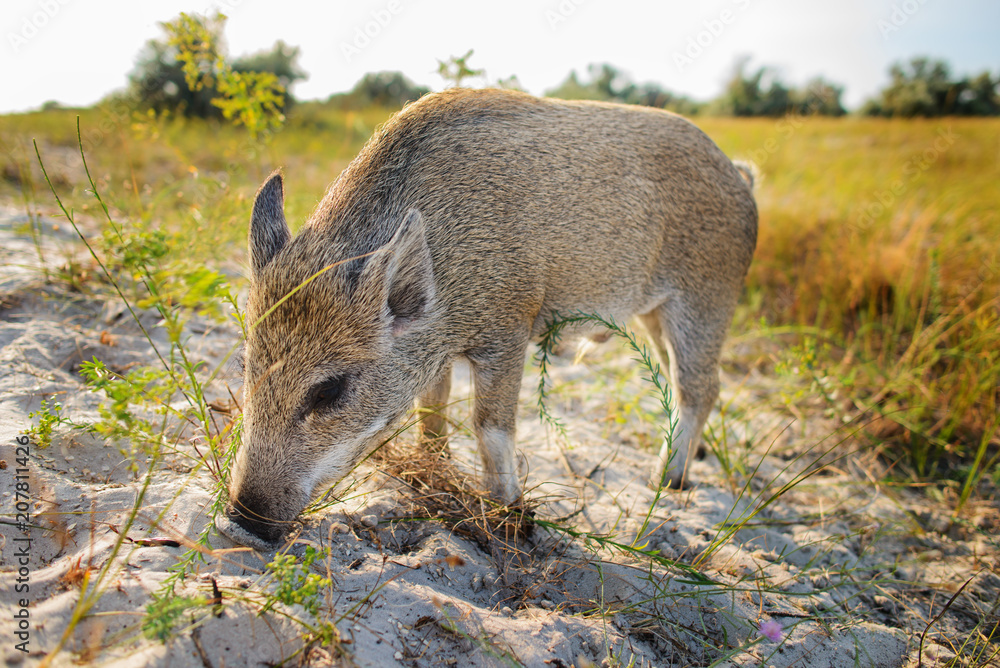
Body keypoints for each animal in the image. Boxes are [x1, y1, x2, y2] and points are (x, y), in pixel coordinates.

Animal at [215, 87, 757, 549]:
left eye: (329, 390)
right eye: (245, 366)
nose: (242, 521)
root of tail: (741, 177)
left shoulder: (510, 325)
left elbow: (489, 424)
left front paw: (513, 517)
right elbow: (432, 408)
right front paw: (429, 469)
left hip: (707, 297)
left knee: (701, 387)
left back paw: (669, 481)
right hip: (655, 314)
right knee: (678, 377)